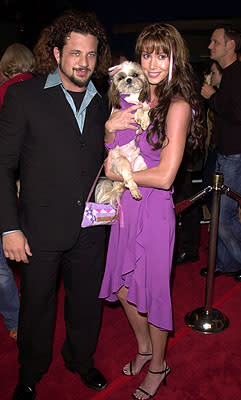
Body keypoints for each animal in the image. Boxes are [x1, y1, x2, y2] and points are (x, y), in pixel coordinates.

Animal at [95, 62, 150, 208]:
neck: (132, 97)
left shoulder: (144, 103)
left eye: (135, 74)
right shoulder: (124, 110)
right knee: (129, 180)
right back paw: (135, 191)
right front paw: (140, 117)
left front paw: (145, 120)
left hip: (141, 164)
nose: (129, 79)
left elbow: (146, 108)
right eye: (121, 77)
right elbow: (138, 109)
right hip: (121, 163)